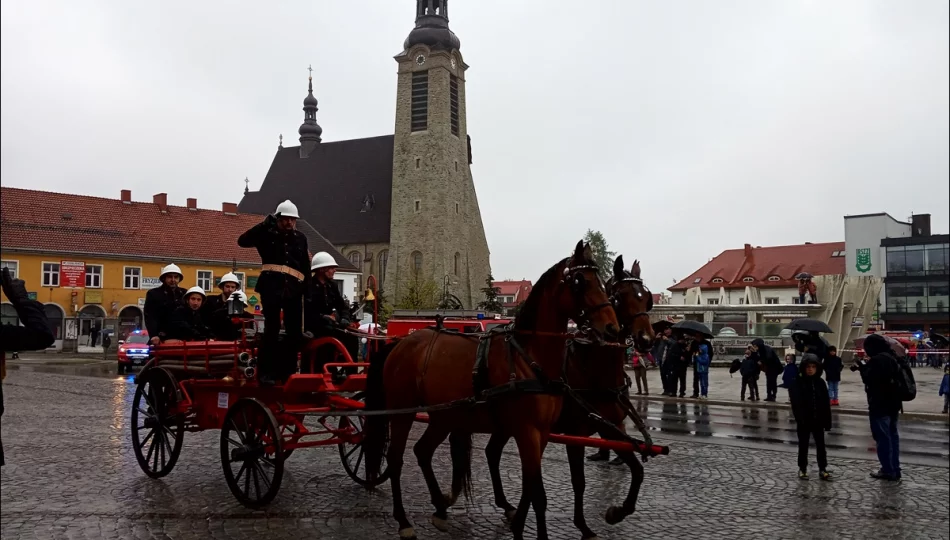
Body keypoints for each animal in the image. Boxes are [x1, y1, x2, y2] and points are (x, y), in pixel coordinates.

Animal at [362, 242, 616, 540]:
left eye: (601, 281)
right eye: (579, 281)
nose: (612, 327)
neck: (527, 357)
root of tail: (400, 343)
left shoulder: (540, 433)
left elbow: (530, 487)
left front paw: (516, 520)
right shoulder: (526, 431)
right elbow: (538, 493)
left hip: (444, 416)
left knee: (422, 451)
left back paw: (440, 507)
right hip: (403, 412)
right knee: (395, 458)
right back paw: (403, 520)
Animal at [474, 255, 656, 536]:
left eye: (647, 298)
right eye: (619, 298)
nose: (646, 339)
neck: (594, 369)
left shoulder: (611, 428)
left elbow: (637, 470)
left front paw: (616, 512)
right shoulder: (575, 433)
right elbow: (578, 481)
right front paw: (582, 524)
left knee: (493, 453)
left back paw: (507, 506)